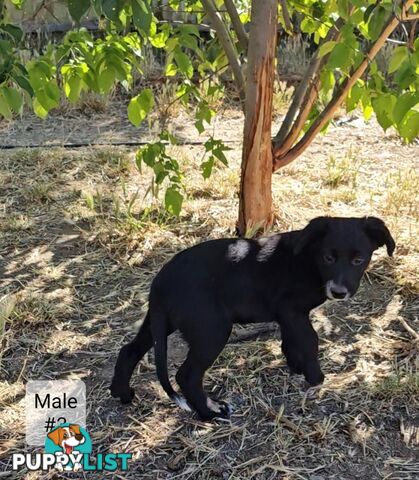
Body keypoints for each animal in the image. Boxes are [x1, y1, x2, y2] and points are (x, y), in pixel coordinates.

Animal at [110, 218, 396, 420]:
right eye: (328, 258)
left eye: (359, 260)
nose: (338, 291)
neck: (308, 259)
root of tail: (161, 280)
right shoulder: (291, 310)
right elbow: (310, 340)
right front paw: (316, 378)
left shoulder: (288, 315)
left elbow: (290, 341)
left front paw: (296, 366)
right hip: (212, 330)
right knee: (187, 375)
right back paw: (209, 413)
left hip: (160, 322)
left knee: (129, 350)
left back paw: (122, 393)